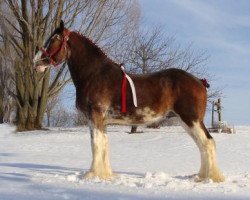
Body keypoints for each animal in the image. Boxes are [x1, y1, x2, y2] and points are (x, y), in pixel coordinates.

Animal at [33, 20, 225, 183]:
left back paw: (210, 178)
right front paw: (106, 175)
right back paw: (201, 176)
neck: (94, 74)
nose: (35, 62)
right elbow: (104, 144)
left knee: (208, 143)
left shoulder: (95, 117)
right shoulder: (101, 121)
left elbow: (96, 145)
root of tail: (199, 81)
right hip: (186, 121)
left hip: (191, 119)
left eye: (54, 39)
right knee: (203, 145)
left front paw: (93, 175)